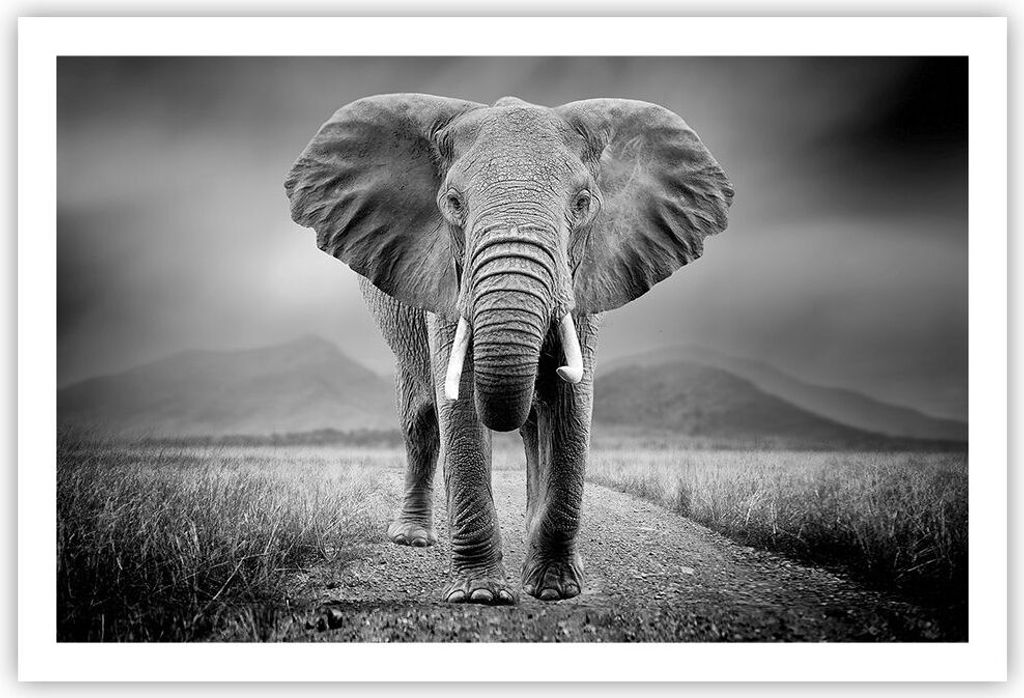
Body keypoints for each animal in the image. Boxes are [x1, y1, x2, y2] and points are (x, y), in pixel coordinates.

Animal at [285, 94, 732, 605]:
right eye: (453, 203)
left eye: (583, 204)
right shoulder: (448, 281)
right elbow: (458, 404)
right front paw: (480, 595)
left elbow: (572, 404)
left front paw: (555, 588)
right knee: (420, 420)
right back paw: (412, 538)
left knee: (535, 425)